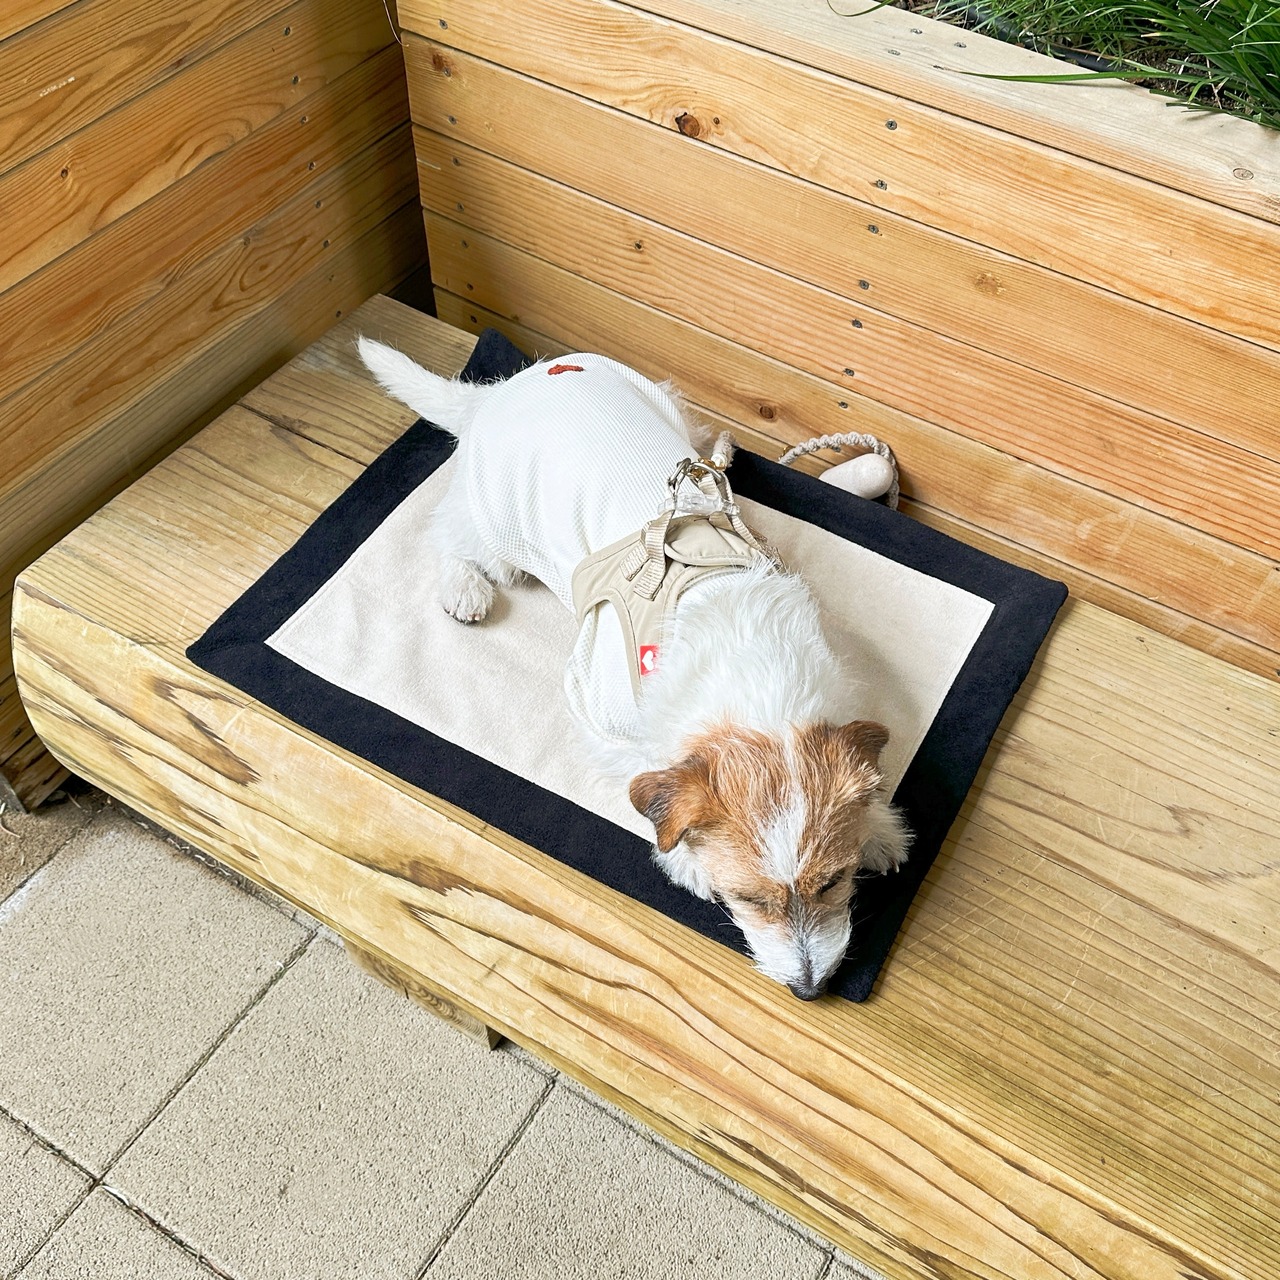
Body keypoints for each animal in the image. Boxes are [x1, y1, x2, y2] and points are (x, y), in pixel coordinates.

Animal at [357, 338, 910, 999]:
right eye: (746, 899)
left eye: (834, 882)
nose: (810, 989)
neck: (749, 668)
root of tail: (500, 391)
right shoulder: (595, 707)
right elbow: (648, 771)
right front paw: (684, 856)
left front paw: (879, 827)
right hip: (494, 517)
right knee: (451, 535)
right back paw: (465, 586)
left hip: (663, 403)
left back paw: (719, 453)